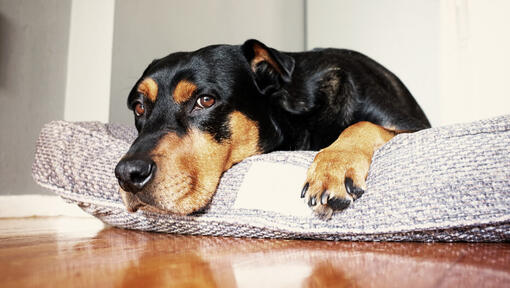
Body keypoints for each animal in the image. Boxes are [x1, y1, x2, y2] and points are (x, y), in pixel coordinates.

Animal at [115, 39, 430, 219]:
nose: (128, 174)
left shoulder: (416, 128)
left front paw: (333, 168)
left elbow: (362, 124)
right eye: (139, 107)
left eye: (205, 100)